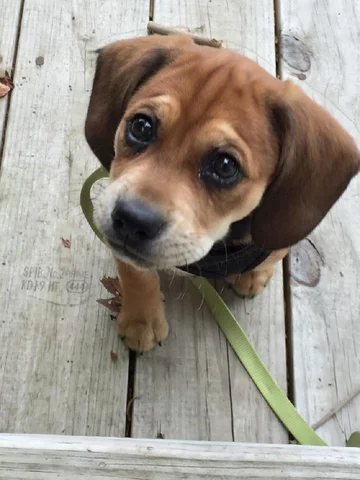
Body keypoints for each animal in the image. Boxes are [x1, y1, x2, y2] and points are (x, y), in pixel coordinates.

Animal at [85, 32, 360, 348]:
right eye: (141, 126)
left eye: (226, 166)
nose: (132, 220)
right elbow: (136, 275)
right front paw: (140, 321)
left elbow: (272, 253)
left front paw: (254, 274)